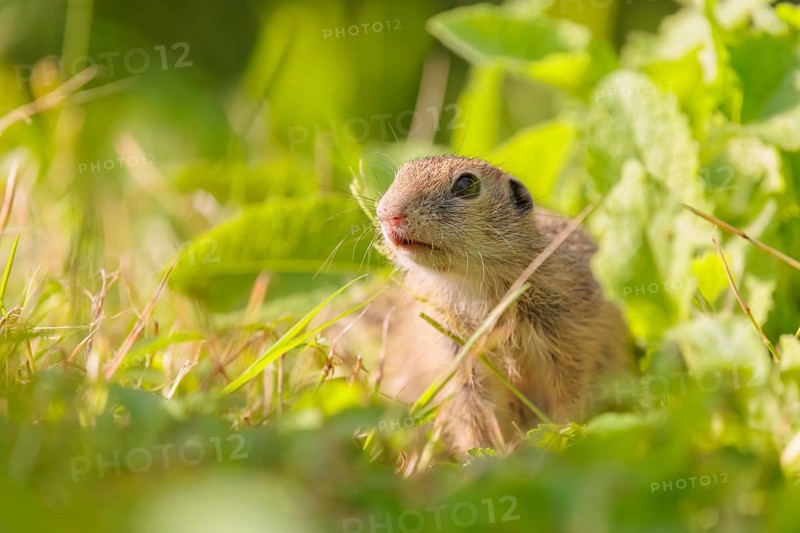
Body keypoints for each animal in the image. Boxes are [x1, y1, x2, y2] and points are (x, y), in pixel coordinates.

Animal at [369, 155, 631, 457]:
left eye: (466, 184)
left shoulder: (569, 340)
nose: (388, 214)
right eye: (401, 173)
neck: (472, 282)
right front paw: (480, 456)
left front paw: (563, 434)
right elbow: (472, 413)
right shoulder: (458, 359)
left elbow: (569, 391)